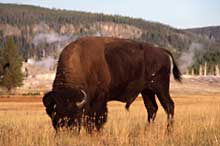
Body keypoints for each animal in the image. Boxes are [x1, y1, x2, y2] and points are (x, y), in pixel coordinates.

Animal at [42, 36, 181, 132]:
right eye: (53, 114)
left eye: (74, 114)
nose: (65, 130)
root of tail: (162, 51)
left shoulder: (99, 100)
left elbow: (97, 118)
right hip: (147, 91)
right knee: (152, 109)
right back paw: (147, 130)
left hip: (160, 88)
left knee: (169, 106)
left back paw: (169, 131)